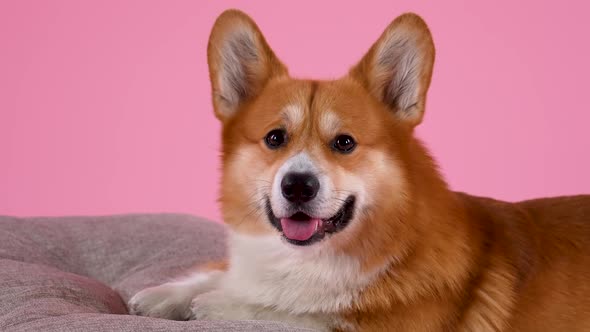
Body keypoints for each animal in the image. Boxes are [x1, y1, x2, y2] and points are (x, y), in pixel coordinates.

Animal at [131, 9, 590, 330]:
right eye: (275, 138)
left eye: (344, 143)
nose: (298, 186)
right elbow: (223, 276)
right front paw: (165, 294)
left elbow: (300, 314)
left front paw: (216, 304)